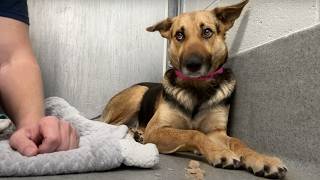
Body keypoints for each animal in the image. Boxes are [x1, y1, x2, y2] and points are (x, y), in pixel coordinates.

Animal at [102, 0, 288, 179]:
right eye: (179, 35)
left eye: (207, 32)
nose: (192, 64)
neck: (197, 88)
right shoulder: (156, 129)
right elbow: (193, 133)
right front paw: (219, 152)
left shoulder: (216, 132)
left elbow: (237, 141)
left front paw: (262, 159)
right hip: (138, 92)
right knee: (110, 125)